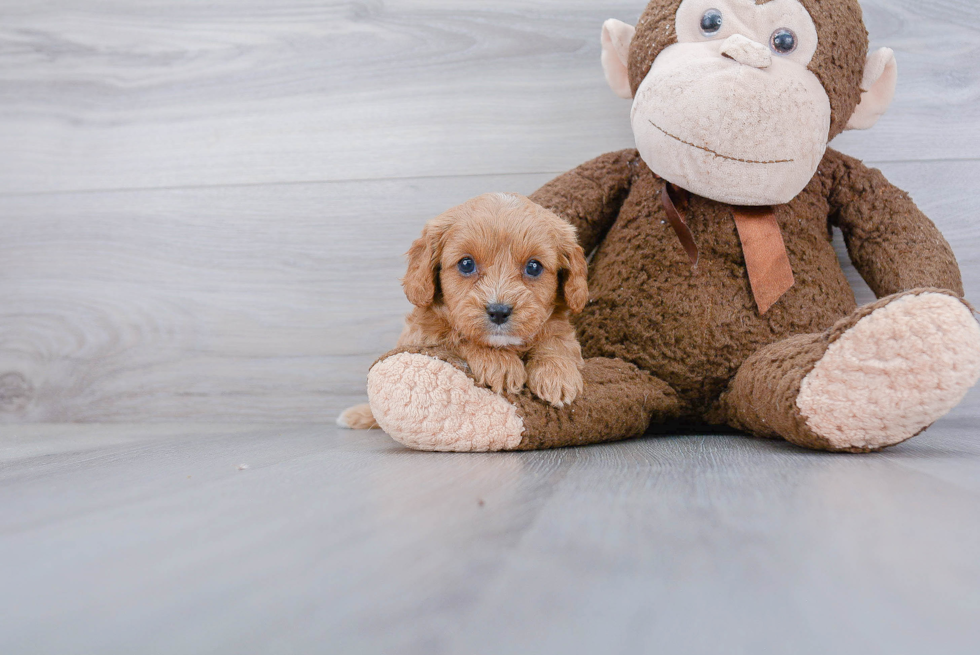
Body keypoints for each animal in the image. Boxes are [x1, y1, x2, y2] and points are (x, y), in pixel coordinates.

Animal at [340, 191, 588, 430]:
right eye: (466, 264)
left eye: (534, 267)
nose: (499, 312)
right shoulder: (425, 336)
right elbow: (457, 337)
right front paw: (500, 363)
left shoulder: (556, 324)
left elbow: (557, 340)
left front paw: (557, 373)